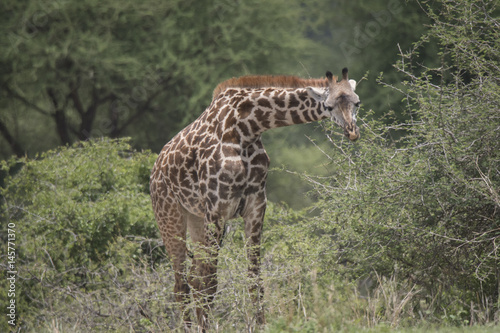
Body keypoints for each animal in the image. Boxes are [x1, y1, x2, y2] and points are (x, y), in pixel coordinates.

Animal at [148, 67, 360, 330]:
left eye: (357, 102)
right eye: (329, 106)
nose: (352, 131)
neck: (246, 128)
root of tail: (155, 169)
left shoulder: (256, 205)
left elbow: (254, 279)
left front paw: (261, 325)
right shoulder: (217, 208)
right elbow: (211, 282)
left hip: (196, 218)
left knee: (192, 278)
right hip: (170, 216)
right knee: (181, 285)